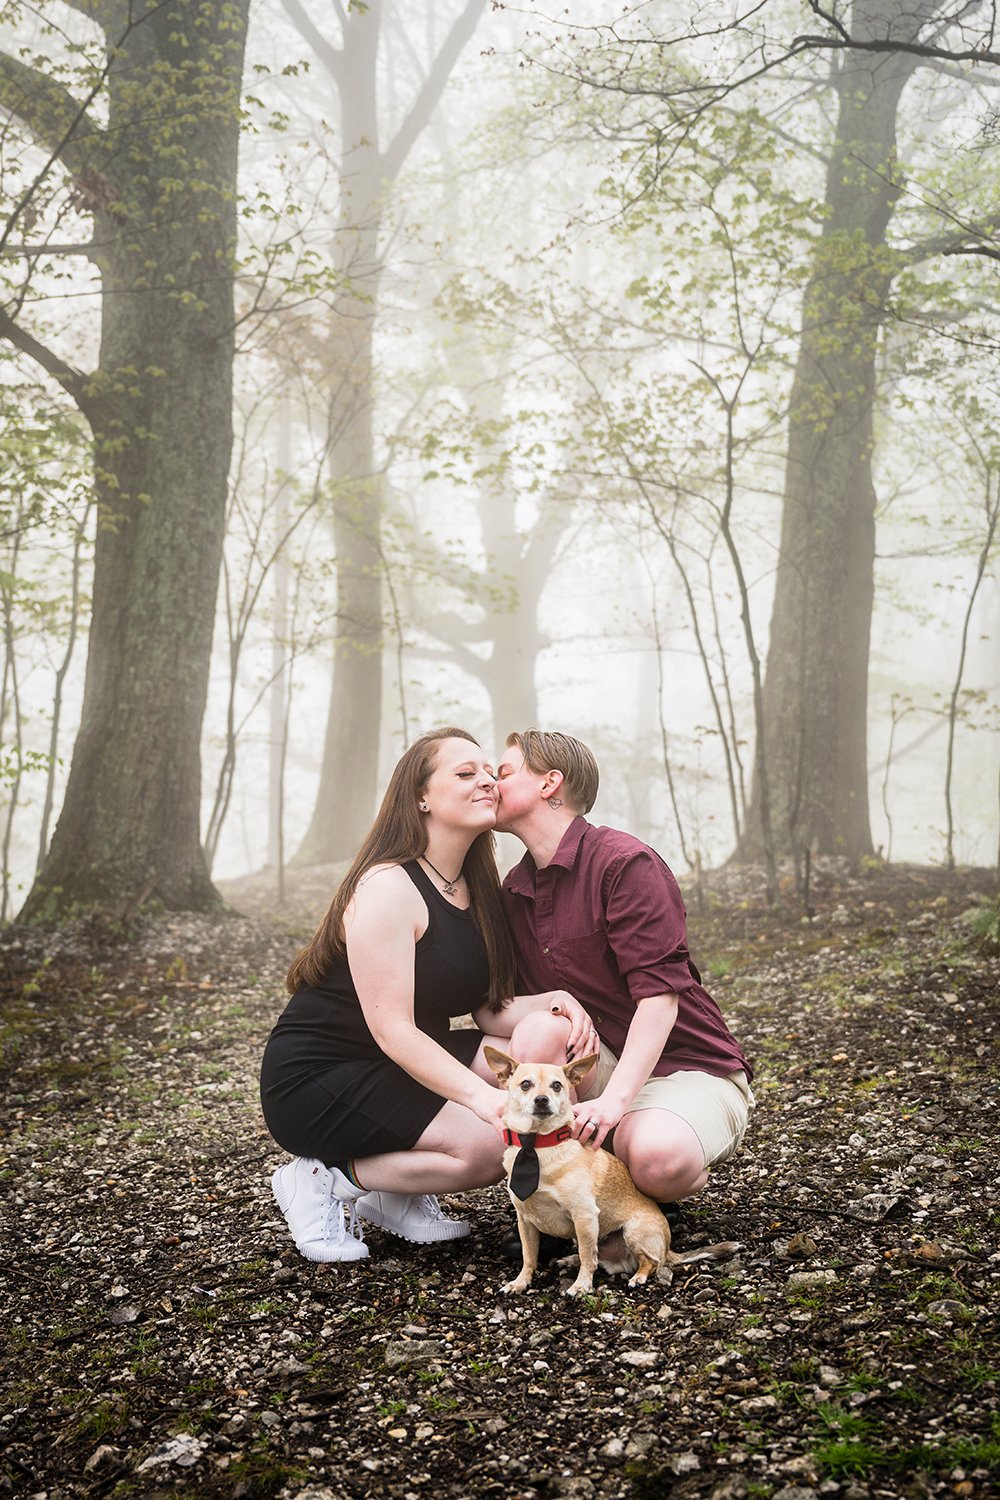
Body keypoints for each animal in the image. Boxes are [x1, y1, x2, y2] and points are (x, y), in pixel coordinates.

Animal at [488, 1050, 740, 1296]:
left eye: (557, 1086)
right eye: (525, 1084)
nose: (542, 1099)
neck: (538, 1145)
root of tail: (668, 1247)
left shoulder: (584, 1215)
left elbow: (587, 1257)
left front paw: (581, 1286)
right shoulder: (526, 1221)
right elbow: (529, 1256)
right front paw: (520, 1282)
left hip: (633, 1231)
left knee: (650, 1262)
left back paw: (637, 1277)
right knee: (596, 1255)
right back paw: (570, 1260)